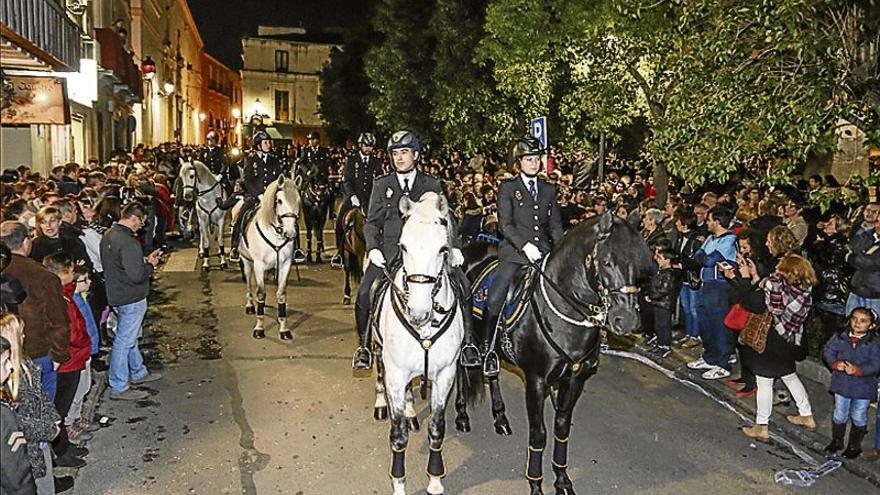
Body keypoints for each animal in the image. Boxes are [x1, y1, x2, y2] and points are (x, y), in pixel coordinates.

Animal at [237, 174, 302, 340]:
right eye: (279, 201)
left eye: (298, 200)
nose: (290, 233)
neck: (276, 233)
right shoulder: (259, 265)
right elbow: (260, 292)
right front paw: (259, 328)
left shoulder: (285, 265)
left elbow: (281, 294)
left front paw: (284, 329)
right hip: (247, 262)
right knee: (249, 283)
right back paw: (250, 305)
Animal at [374, 192, 464, 495]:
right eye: (403, 246)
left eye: (443, 248)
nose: (418, 312)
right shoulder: (395, 374)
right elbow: (398, 435)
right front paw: (399, 483)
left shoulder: (446, 374)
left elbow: (436, 427)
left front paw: (435, 480)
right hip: (378, 352)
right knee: (377, 370)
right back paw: (380, 403)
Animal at [460, 213, 652, 495]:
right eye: (607, 261)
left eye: (637, 265)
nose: (626, 320)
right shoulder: (536, 381)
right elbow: (539, 434)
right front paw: (536, 484)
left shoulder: (574, 380)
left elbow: (561, 428)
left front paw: (562, 479)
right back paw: (461, 415)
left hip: (492, 349)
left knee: (491, 372)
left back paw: (500, 417)